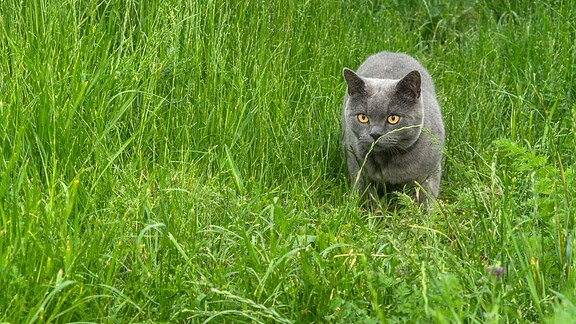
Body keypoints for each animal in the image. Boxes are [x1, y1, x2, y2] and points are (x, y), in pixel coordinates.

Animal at [342, 52, 446, 205]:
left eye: (393, 118)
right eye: (363, 117)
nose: (375, 134)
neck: (386, 158)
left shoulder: (430, 173)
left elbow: (427, 199)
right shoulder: (357, 165)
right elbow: (364, 193)